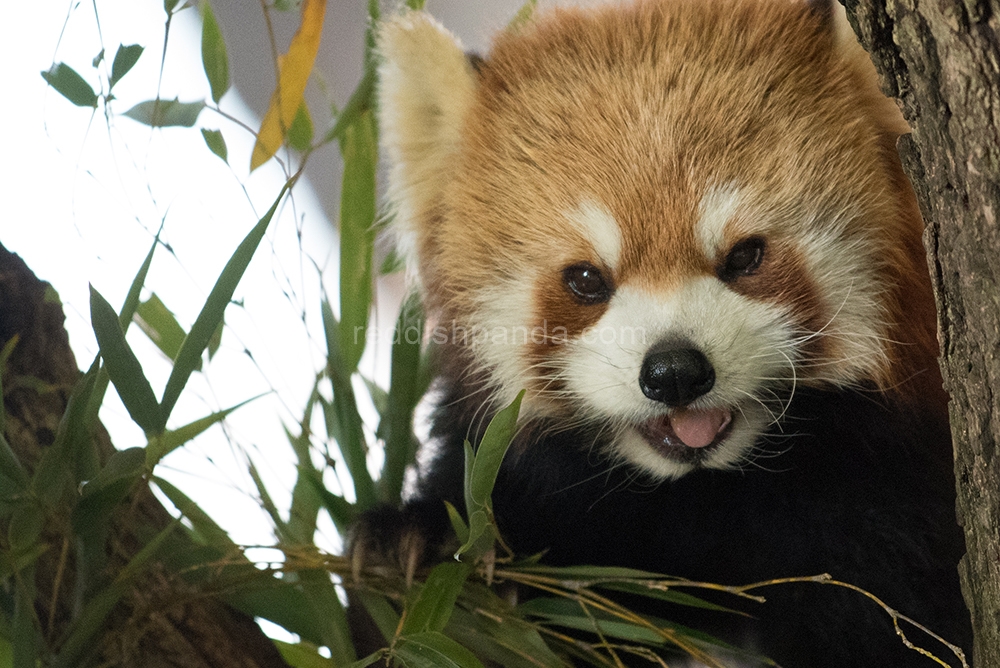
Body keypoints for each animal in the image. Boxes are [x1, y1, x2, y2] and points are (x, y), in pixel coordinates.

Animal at [366, 1, 968, 664]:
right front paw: (413, 546)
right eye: (586, 279)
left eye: (745, 256)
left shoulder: (885, 500)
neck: (696, 495)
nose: (674, 371)